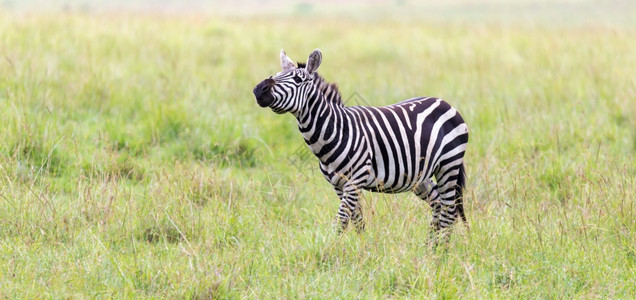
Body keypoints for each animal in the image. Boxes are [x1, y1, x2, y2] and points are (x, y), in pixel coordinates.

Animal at [252, 48, 468, 241]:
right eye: (277, 75)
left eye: (298, 80)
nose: (258, 89)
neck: (336, 132)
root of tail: (444, 102)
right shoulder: (338, 185)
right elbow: (357, 221)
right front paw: (363, 248)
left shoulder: (355, 181)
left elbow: (341, 221)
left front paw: (330, 251)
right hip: (420, 176)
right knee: (438, 203)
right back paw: (429, 247)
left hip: (448, 165)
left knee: (449, 211)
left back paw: (440, 252)